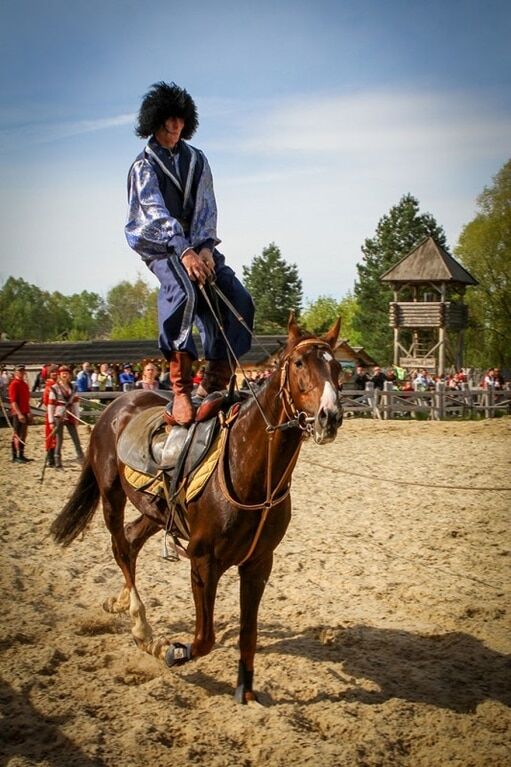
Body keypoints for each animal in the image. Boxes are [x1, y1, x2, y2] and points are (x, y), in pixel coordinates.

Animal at [51, 316, 344, 704]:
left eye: (338, 368)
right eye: (298, 364)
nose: (329, 417)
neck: (244, 467)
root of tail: (116, 406)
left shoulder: (258, 564)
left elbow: (248, 635)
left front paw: (246, 693)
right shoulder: (203, 561)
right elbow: (204, 639)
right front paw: (172, 651)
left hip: (157, 512)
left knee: (130, 540)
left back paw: (121, 602)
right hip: (111, 494)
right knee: (119, 546)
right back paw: (141, 626)